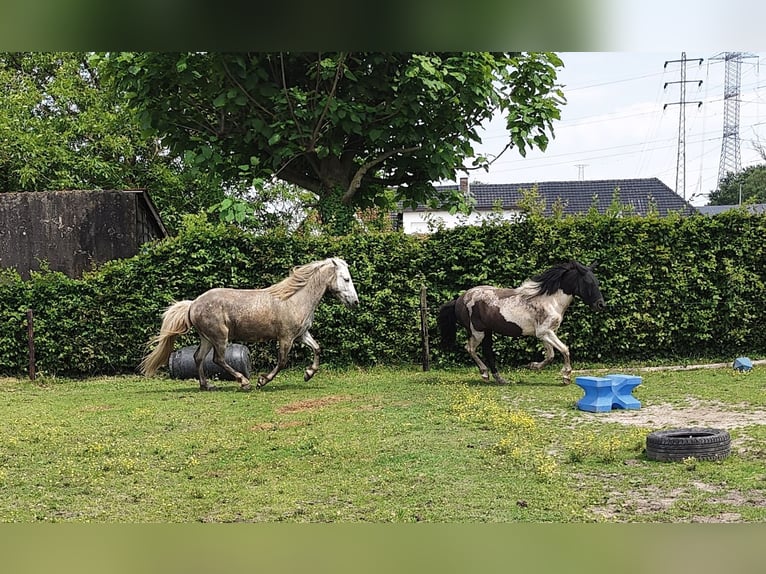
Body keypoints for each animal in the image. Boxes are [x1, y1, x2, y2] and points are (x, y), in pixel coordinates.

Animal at [140, 260, 360, 392]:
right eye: (346, 279)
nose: (355, 302)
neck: (294, 299)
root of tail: (193, 304)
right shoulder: (286, 338)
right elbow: (282, 362)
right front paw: (262, 381)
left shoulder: (301, 334)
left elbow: (317, 348)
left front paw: (308, 374)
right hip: (220, 337)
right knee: (218, 359)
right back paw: (243, 382)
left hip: (207, 338)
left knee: (198, 357)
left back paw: (206, 385)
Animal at [438, 260, 608, 388]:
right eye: (588, 282)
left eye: (597, 282)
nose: (600, 305)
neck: (550, 301)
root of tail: (459, 300)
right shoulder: (545, 332)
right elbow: (564, 350)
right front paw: (566, 376)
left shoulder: (546, 333)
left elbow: (551, 355)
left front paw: (532, 366)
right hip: (477, 332)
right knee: (470, 348)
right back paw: (484, 373)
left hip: (488, 332)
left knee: (488, 352)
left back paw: (500, 379)